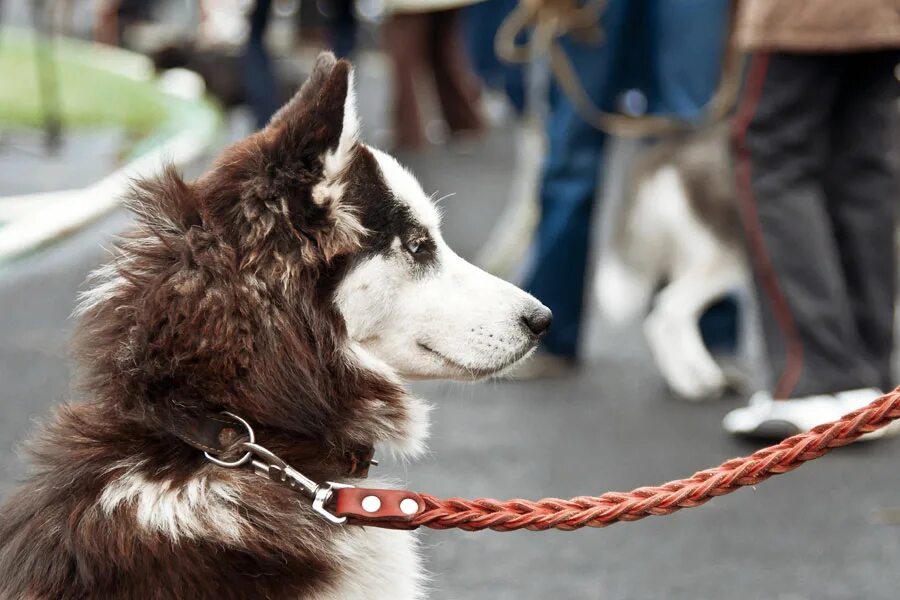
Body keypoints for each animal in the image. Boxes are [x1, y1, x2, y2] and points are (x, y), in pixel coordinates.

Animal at [596, 123, 744, 400]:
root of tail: (670, 151)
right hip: (729, 255)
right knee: (670, 308)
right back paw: (693, 382)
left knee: (669, 316)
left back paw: (694, 377)